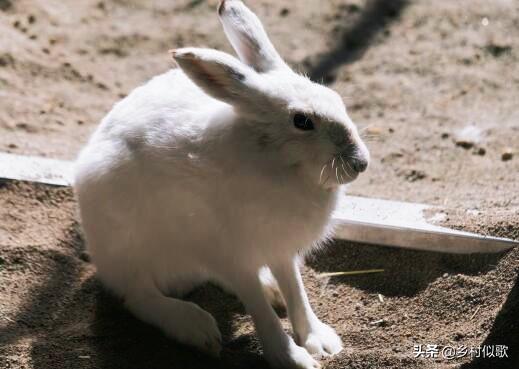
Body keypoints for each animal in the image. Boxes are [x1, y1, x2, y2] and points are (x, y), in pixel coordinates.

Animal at [76, 1, 370, 366]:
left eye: (336, 97)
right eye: (302, 121)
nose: (360, 163)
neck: (274, 160)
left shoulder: (280, 250)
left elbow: (296, 290)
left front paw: (321, 341)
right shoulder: (232, 254)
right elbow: (259, 309)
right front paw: (292, 358)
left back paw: (270, 289)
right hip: (127, 248)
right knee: (139, 296)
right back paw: (195, 327)